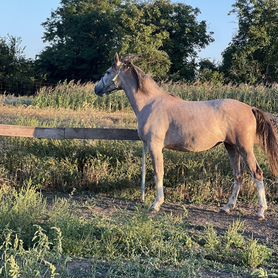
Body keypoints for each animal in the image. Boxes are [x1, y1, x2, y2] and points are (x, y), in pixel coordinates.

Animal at [95, 53, 278, 219]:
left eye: (108, 71)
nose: (96, 89)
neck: (150, 104)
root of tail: (250, 108)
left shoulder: (155, 146)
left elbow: (158, 173)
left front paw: (156, 204)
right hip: (231, 147)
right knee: (238, 176)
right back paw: (227, 207)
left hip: (244, 148)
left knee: (257, 173)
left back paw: (261, 211)